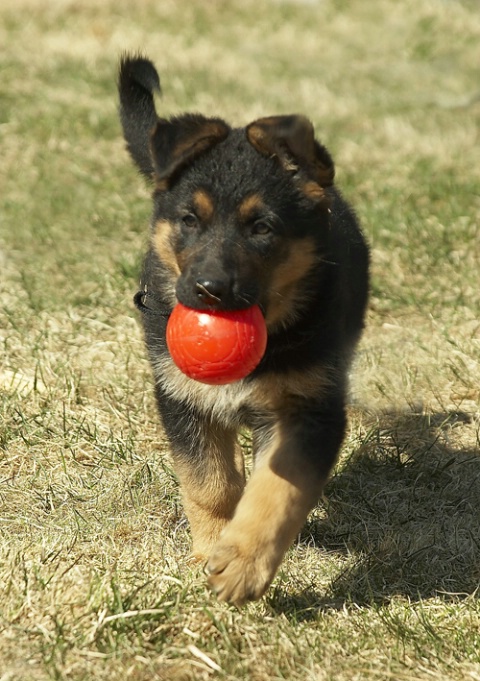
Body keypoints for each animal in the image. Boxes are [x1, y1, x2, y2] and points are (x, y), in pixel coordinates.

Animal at [118, 54, 370, 604]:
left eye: (262, 229)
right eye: (189, 220)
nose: (209, 291)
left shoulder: (310, 408)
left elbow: (278, 490)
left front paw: (242, 563)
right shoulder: (182, 396)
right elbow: (209, 483)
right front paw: (210, 548)